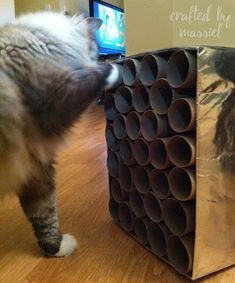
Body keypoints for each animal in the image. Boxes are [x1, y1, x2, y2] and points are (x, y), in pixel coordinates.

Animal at [0, 11, 117, 258]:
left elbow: (44, 215)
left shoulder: (35, 165)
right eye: (95, 51)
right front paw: (113, 70)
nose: (96, 58)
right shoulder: (55, 101)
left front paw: (56, 248)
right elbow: (96, 78)